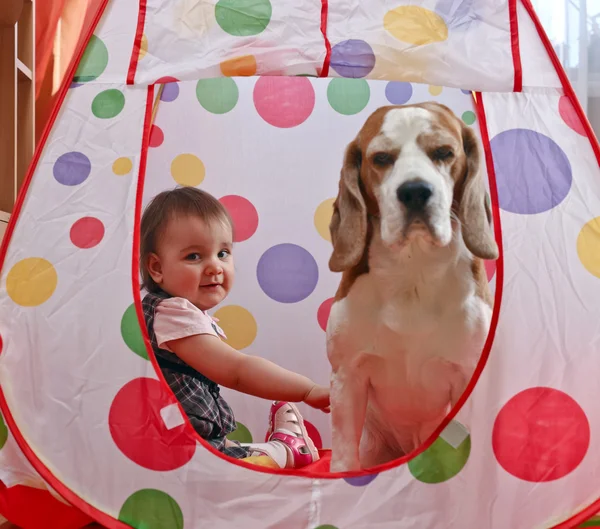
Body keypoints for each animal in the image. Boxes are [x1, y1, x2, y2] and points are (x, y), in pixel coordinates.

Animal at [326, 102, 500, 470]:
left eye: (444, 152)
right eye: (380, 158)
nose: (415, 191)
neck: (413, 269)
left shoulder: (466, 377)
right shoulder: (347, 378)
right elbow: (344, 459)